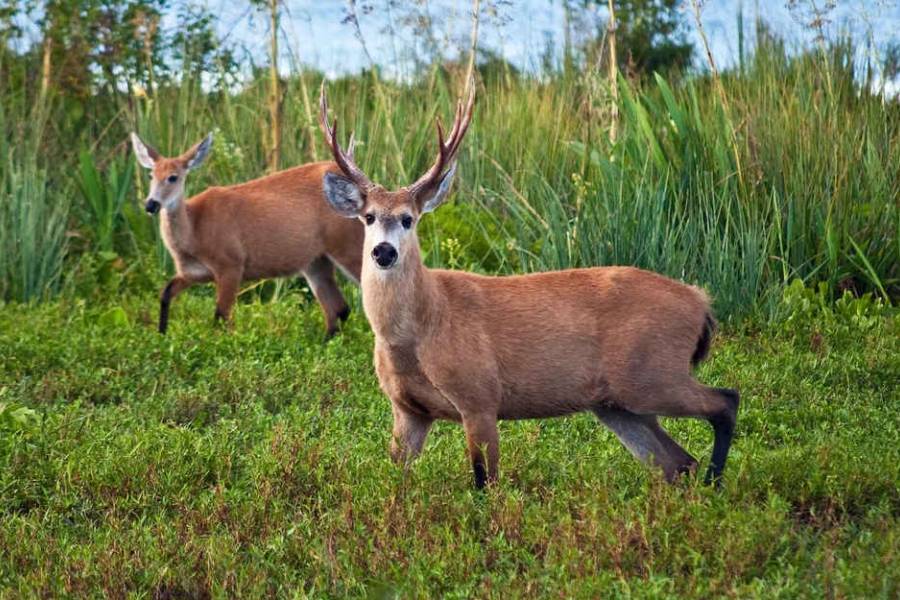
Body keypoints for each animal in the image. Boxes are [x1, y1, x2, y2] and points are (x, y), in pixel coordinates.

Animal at [130, 132, 364, 337]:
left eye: (173, 177)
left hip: (348, 245)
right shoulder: (192, 273)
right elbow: (165, 293)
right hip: (315, 261)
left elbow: (221, 316)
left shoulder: (231, 263)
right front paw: (161, 335)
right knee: (339, 308)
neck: (195, 232)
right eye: (151, 175)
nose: (150, 204)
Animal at [317, 83, 740, 490]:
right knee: (678, 462)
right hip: (618, 403)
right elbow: (396, 478)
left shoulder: (480, 396)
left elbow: (484, 482)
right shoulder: (407, 411)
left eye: (409, 218)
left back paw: (716, 485)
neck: (422, 327)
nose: (384, 252)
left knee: (725, 402)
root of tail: (701, 302)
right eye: (369, 217)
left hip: (652, 372)